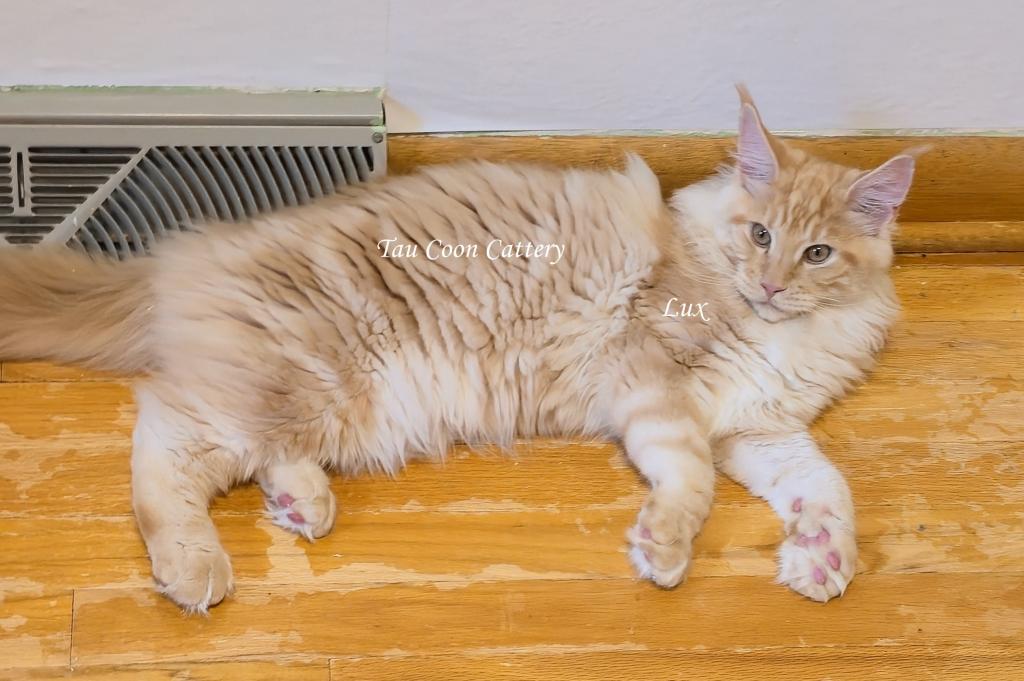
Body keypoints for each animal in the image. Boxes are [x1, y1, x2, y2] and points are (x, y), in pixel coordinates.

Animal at [0, 87, 914, 613]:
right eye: (759, 235)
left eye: (817, 254)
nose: (771, 284)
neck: (776, 329)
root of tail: (181, 254)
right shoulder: (656, 379)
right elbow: (689, 483)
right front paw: (664, 548)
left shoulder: (756, 427)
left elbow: (826, 485)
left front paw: (825, 556)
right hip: (302, 383)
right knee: (164, 442)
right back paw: (195, 566)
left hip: (327, 407)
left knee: (255, 454)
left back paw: (302, 502)